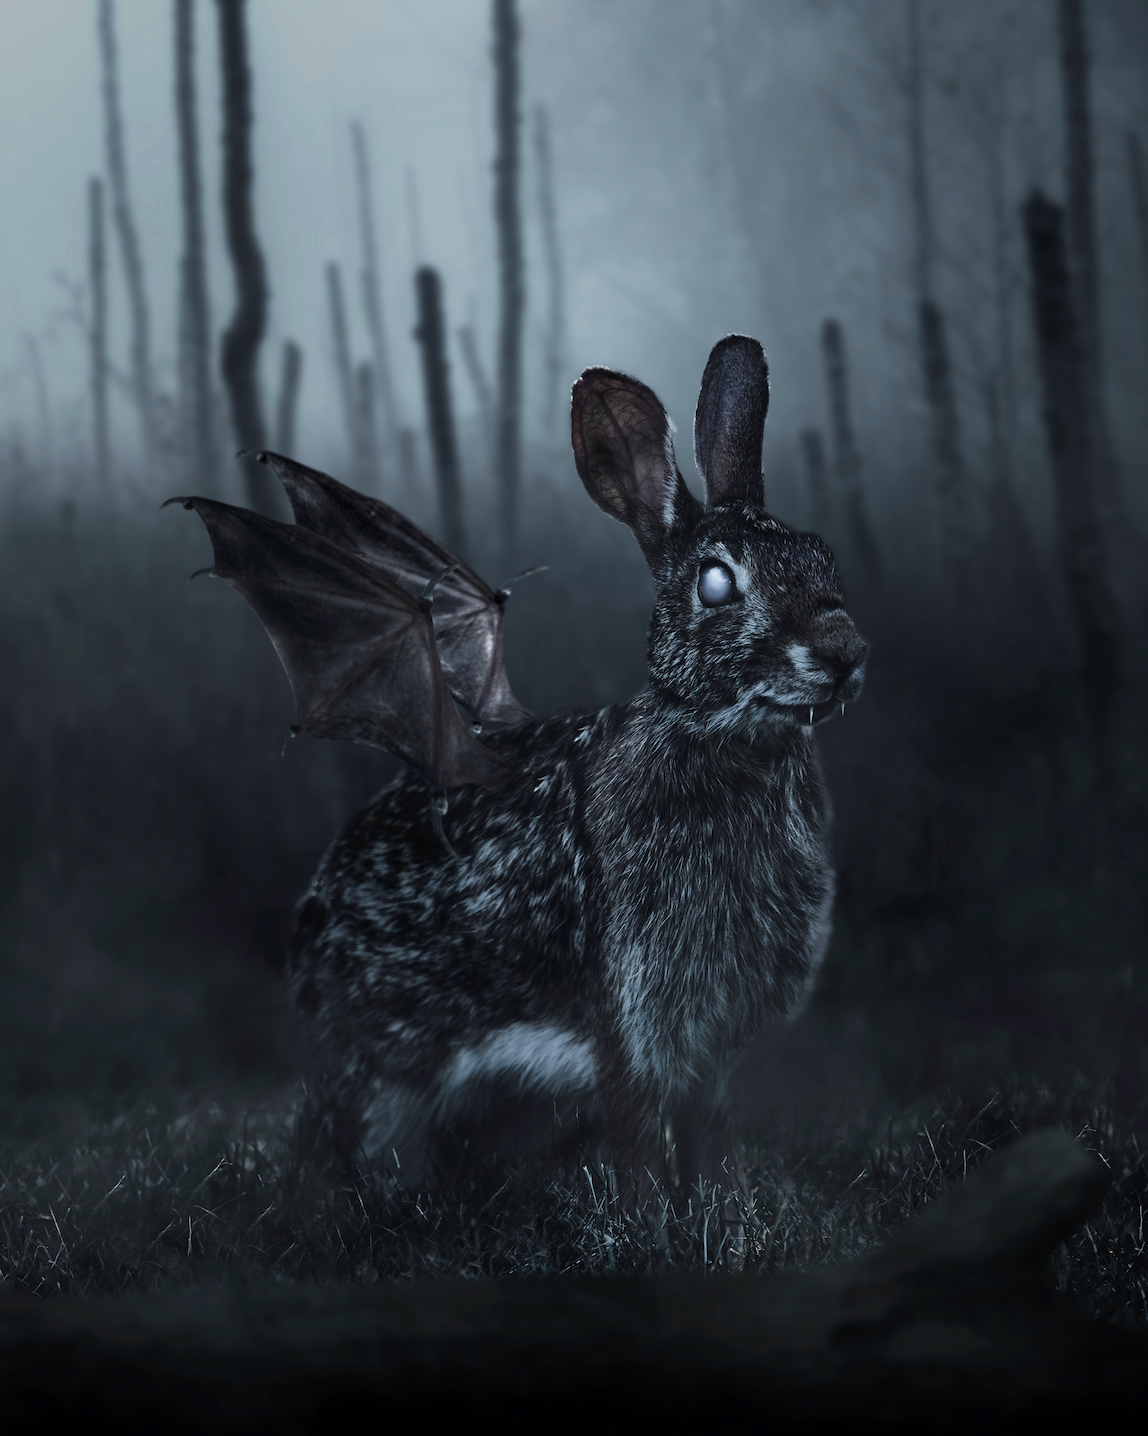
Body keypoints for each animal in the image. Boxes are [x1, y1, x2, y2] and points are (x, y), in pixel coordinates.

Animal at [280, 335, 868, 1192]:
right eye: (717, 583)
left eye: (822, 555)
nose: (844, 653)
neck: (722, 734)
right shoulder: (632, 1012)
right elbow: (640, 1133)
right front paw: (652, 1211)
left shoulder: (711, 1046)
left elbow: (708, 1131)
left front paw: (716, 1193)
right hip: (385, 1070)